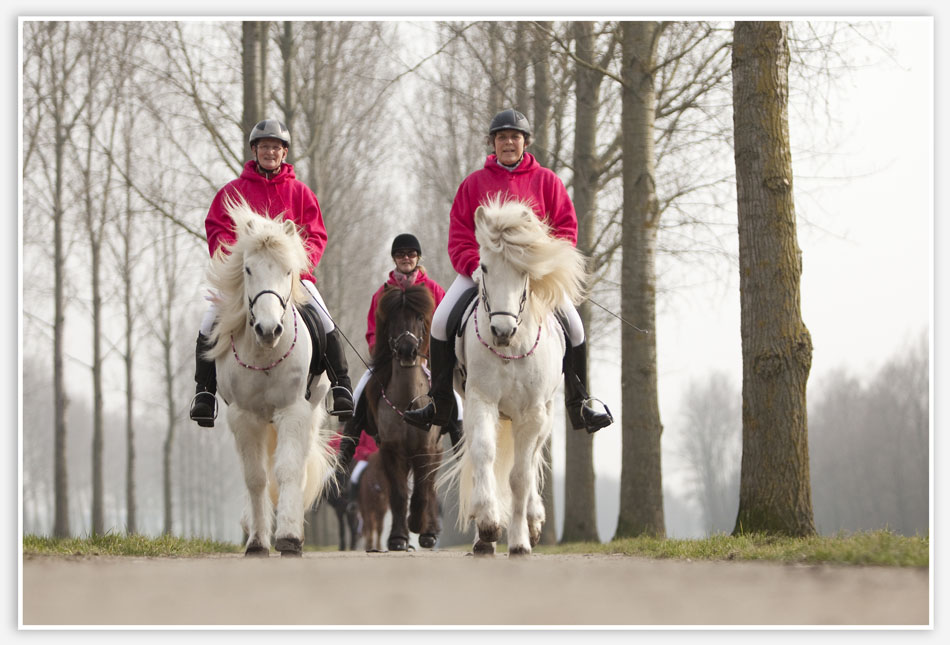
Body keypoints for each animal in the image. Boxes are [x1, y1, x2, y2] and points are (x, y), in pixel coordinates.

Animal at [204, 196, 338, 557]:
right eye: (248, 269)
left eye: (288, 270)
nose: (268, 329)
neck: (265, 353)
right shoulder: (243, 416)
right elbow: (255, 477)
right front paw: (257, 542)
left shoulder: (293, 411)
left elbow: (288, 472)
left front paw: (289, 538)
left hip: (311, 413)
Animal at [365, 283, 443, 551]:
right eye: (392, 317)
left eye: (419, 317)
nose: (408, 350)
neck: (408, 404)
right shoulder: (391, 450)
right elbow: (399, 494)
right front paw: (399, 538)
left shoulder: (425, 450)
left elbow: (421, 492)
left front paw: (418, 525)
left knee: (430, 488)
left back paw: (428, 532)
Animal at [443, 196, 586, 557]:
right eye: (483, 267)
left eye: (524, 270)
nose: (501, 331)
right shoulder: (481, 400)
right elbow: (484, 455)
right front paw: (487, 525)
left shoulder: (532, 413)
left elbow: (520, 476)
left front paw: (520, 541)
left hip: (545, 415)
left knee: (532, 461)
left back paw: (533, 523)